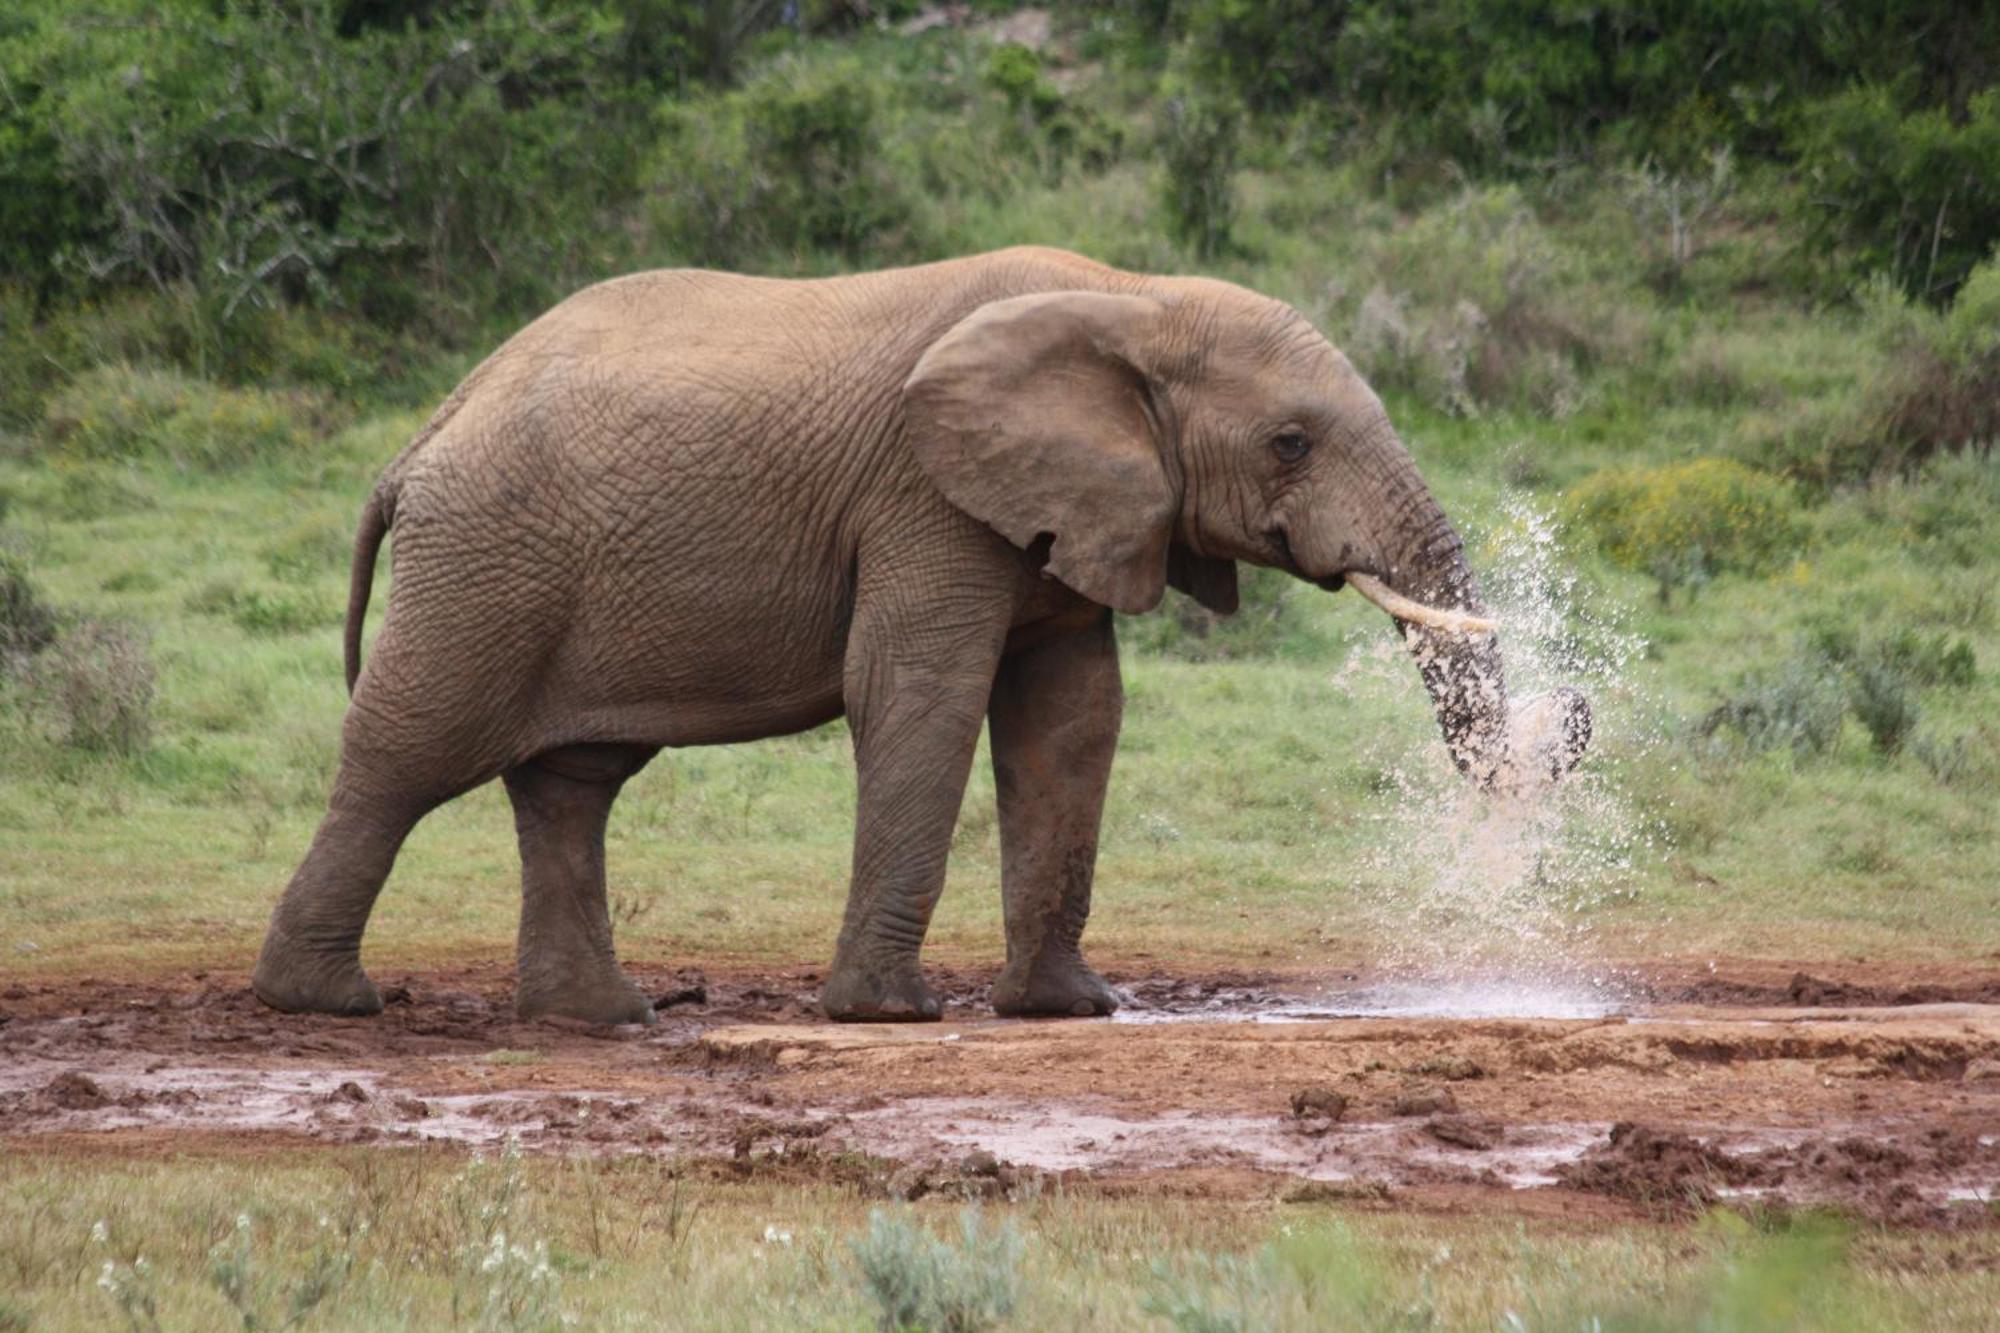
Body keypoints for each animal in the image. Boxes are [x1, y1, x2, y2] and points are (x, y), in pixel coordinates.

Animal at [254, 244, 1592, 1020]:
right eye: (1290, 443)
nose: (1569, 715)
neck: (1128, 301)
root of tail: (423, 436)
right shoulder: (924, 495)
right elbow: (919, 694)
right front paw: (889, 1015)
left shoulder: (1067, 511)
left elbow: (1072, 721)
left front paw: (1068, 1008)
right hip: (485, 564)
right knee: (410, 752)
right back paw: (323, 1004)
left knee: (569, 784)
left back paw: (601, 1021)